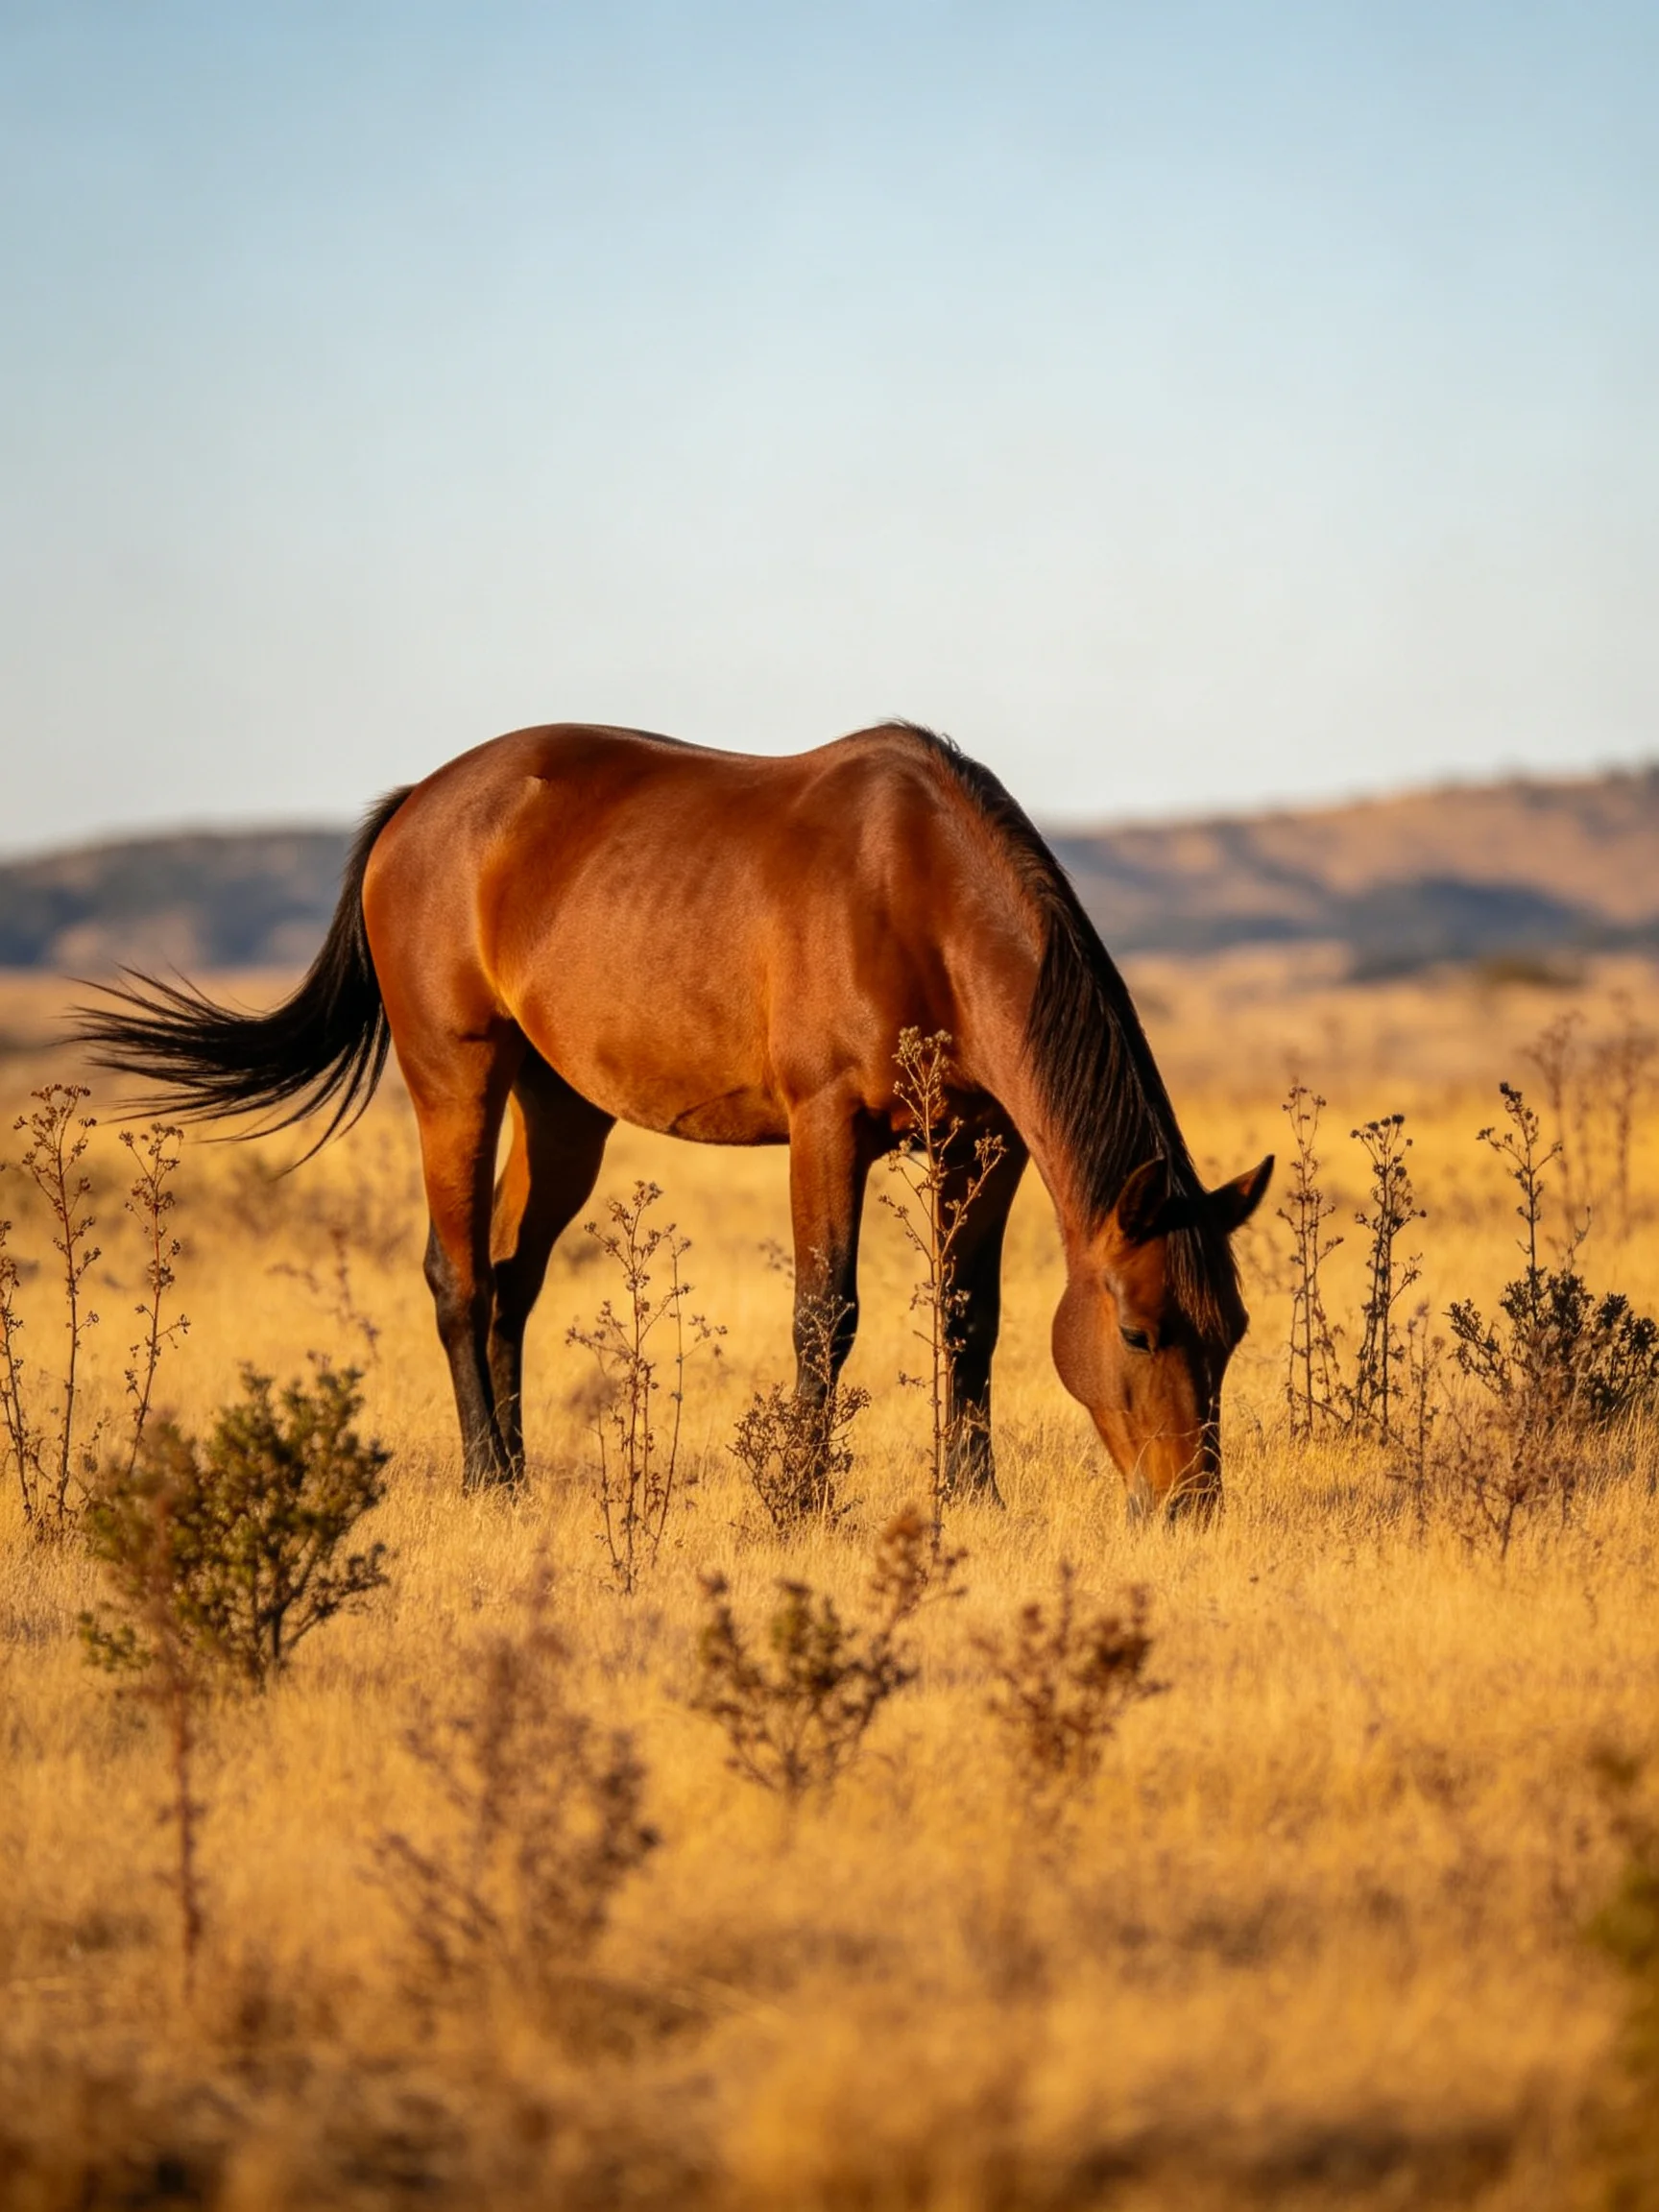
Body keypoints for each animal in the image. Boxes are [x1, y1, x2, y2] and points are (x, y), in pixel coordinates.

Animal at [73, 721, 1271, 1519]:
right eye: (1138, 1332)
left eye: (1231, 1333)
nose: (1188, 1507)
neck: (918, 893)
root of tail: (417, 805)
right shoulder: (827, 1128)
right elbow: (824, 1315)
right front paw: (801, 1499)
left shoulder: (984, 1143)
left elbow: (970, 1313)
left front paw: (971, 1499)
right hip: (456, 1077)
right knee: (458, 1277)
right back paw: (486, 1482)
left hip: (564, 1111)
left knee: (510, 1275)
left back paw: (519, 1471)